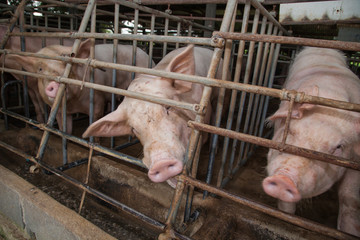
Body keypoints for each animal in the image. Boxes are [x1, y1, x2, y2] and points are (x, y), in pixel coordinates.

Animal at [8, 39, 152, 133]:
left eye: (68, 65)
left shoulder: (97, 101)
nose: (54, 84)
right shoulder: (59, 111)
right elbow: (65, 130)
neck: (74, 104)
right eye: (40, 68)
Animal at [262, 46, 360, 236]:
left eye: (338, 147)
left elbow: (350, 198)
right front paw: (285, 219)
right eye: (290, 130)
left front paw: (349, 232)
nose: (284, 179)